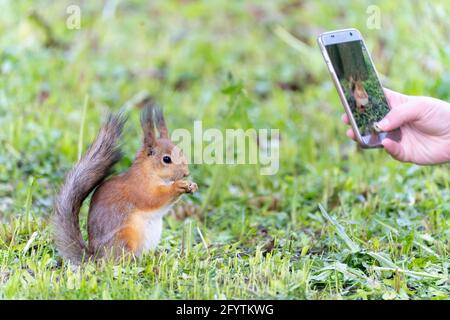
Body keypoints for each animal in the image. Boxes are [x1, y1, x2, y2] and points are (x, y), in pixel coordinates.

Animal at [52, 104, 197, 264]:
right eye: (166, 159)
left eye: (182, 152)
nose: (186, 173)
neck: (149, 173)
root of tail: (95, 258)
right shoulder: (139, 189)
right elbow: (154, 198)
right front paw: (179, 186)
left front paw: (191, 185)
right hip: (125, 238)